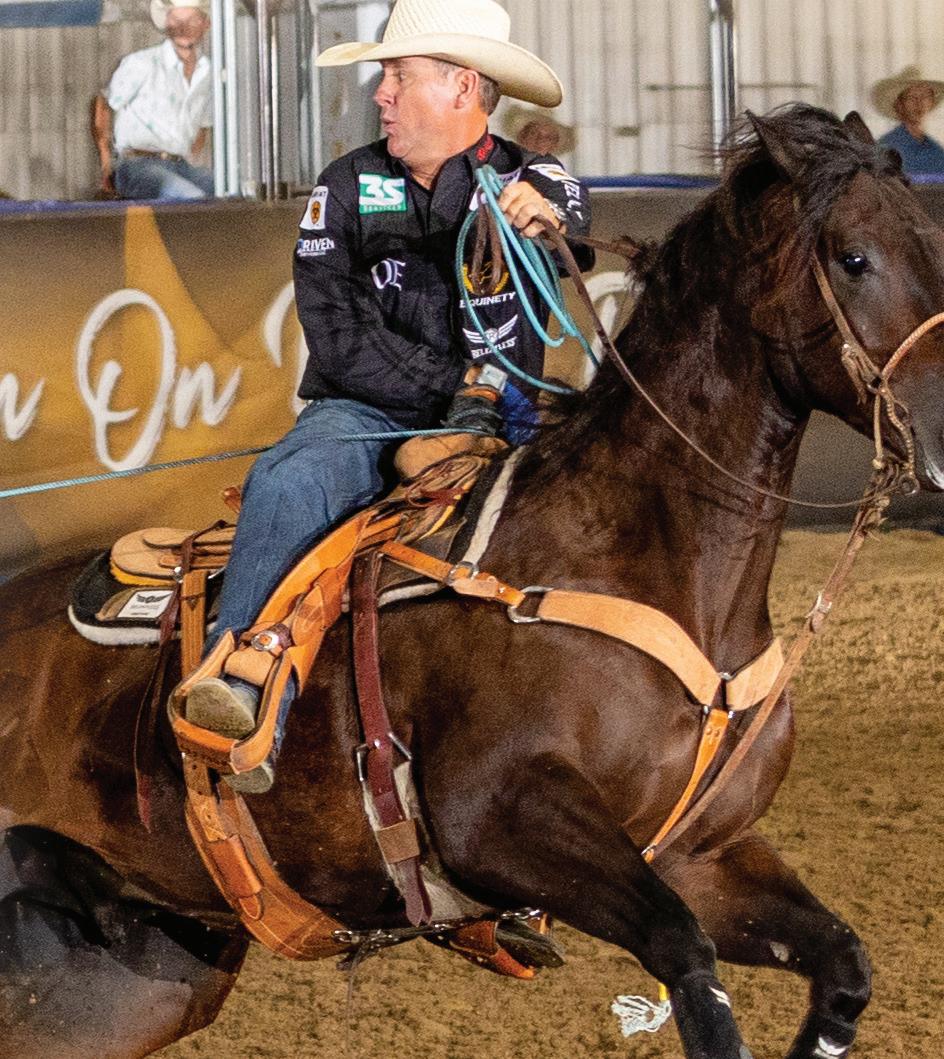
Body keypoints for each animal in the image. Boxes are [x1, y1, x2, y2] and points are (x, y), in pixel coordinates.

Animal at [3, 103, 944, 1059]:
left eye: (932, 239)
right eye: (853, 258)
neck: (652, 564)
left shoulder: (702, 854)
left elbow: (843, 962)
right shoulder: (496, 817)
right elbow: (688, 955)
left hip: (132, 969)